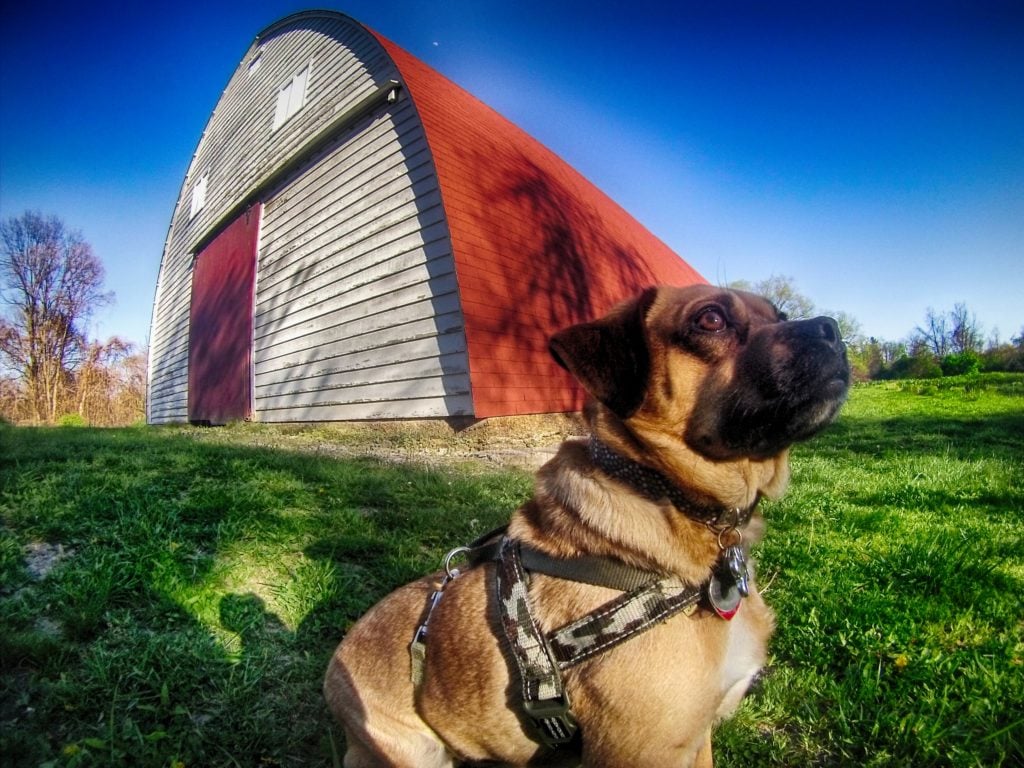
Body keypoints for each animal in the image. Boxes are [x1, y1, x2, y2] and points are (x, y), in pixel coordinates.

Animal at [325, 286, 847, 765]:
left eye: (780, 314)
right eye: (711, 319)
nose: (831, 328)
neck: (666, 495)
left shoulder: (697, 743)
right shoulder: (642, 753)